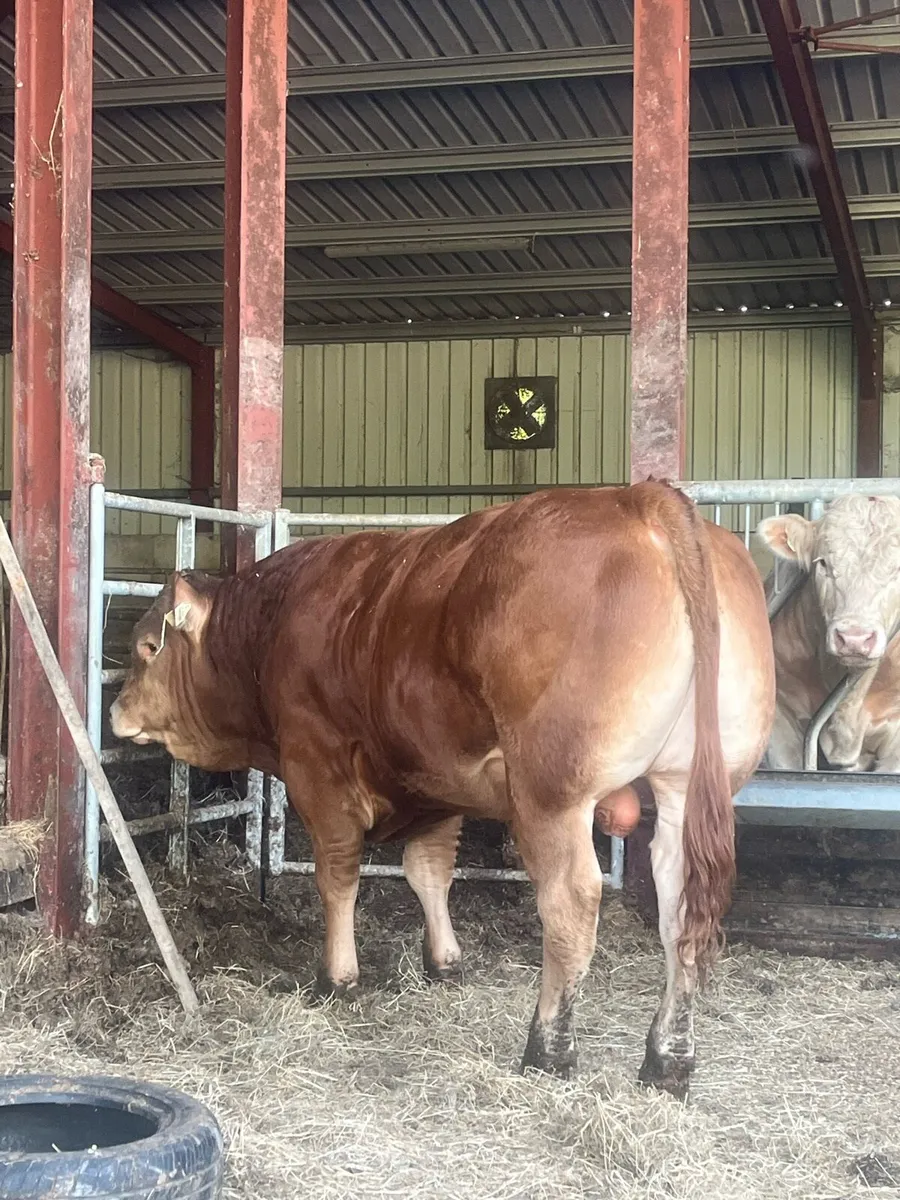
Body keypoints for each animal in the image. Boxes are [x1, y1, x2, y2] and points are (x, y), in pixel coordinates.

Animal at [111, 482, 774, 1097]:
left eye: (147, 646)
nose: (115, 710)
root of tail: (640, 497)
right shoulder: (437, 781)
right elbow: (428, 871)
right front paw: (445, 962)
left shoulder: (317, 765)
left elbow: (338, 875)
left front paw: (336, 978)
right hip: (686, 786)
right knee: (680, 909)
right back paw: (668, 1059)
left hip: (551, 792)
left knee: (569, 904)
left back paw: (548, 1050)